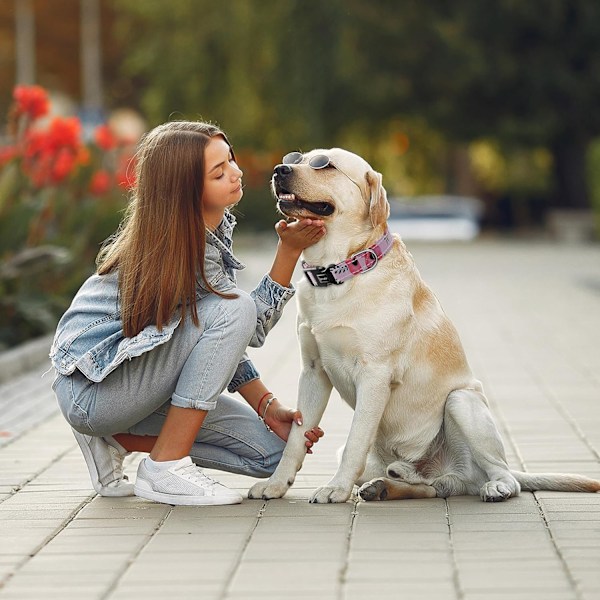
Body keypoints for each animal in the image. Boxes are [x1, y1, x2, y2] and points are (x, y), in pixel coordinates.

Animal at [247, 148, 600, 504]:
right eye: (296, 158)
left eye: (325, 166)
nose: (280, 169)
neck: (338, 272)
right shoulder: (313, 372)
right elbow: (295, 438)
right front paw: (276, 484)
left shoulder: (374, 376)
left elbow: (356, 441)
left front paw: (336, 487)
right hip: (408, 463)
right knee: (435, 487)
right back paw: (386, 485)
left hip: (462, 401)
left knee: (500, 476)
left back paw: (495, 486)